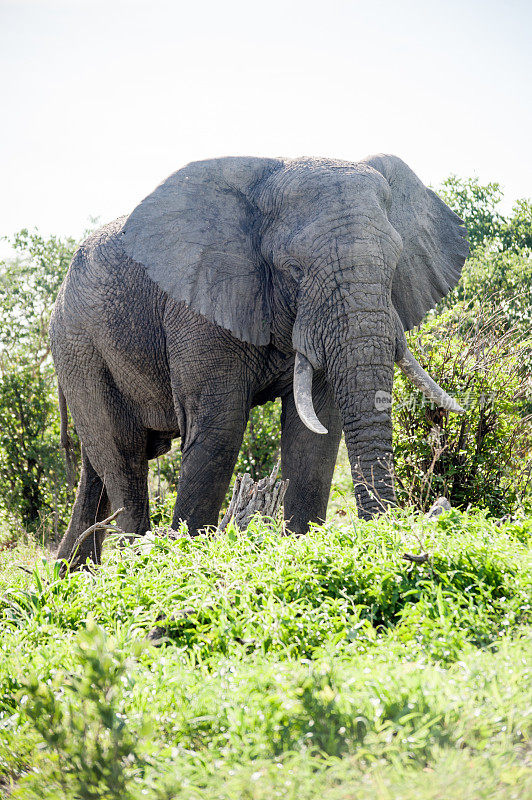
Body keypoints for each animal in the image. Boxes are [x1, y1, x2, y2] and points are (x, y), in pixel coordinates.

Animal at [48, 155, 466, 568]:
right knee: (124, 458)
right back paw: (134, 562)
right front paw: (187, 557)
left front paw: (302, 545)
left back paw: (69, 573)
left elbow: (315, 434)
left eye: (395, 264)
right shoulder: (199, 305)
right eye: (295, 269)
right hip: (81, 348)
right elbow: (220, 428)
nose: (389, 540)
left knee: (97, 472)